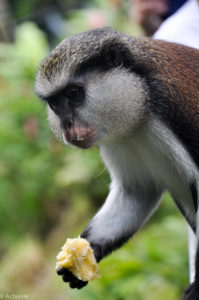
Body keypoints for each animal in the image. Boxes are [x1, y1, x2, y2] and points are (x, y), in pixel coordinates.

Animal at [35, 27, 199, 298]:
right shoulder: (116, 141)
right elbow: (137, 192)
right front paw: (84, 255)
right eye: (55, 104)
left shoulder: (172, 106)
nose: (67, 126)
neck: (141, 102)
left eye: (74, 94)